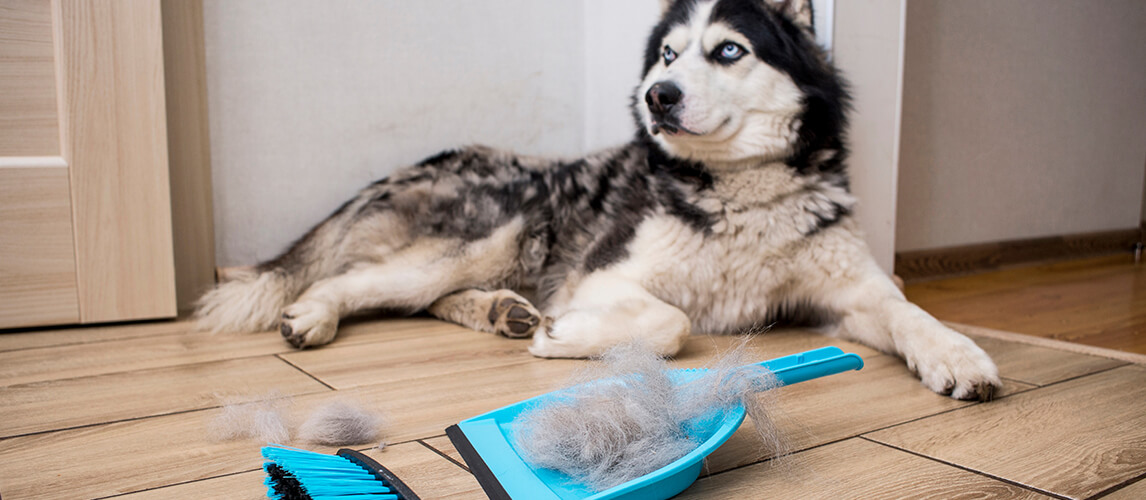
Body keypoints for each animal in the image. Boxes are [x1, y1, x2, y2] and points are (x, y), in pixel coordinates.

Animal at [201, 0, 999, 401]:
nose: (657, 96)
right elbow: (675, 322)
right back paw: (314, 315)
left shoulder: (849, 294)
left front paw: (959, 354)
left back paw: (502, 313)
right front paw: (569, 336)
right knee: (357, 279)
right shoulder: (607, 275)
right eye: (668, 54)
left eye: (729, 50)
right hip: (500, 229)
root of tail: (413, 163)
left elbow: (908, 311)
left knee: (423, 299)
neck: (738, 191)